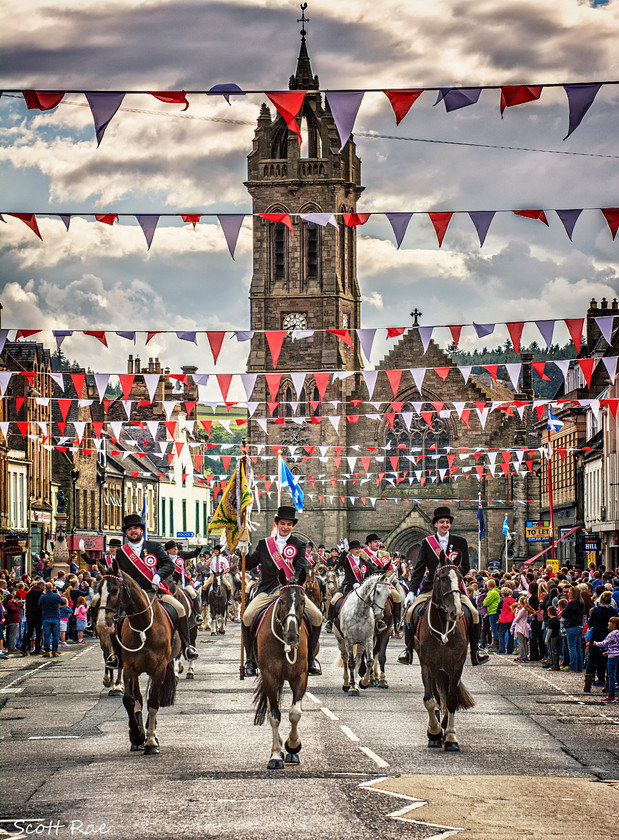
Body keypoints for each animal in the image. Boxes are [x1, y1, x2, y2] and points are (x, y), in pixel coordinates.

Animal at [96, 564, 179, 756]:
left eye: (114, 590)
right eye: (98, 590)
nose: (102, 624)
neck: (144, 626)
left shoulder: (159, 669)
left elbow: (153, 702)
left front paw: (151, 741)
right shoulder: (130, 668)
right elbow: (130, 700)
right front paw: (136, 735)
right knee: (139, 698)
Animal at [253, 572, 308, 768]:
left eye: (303, 601)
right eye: (282, 601)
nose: (291, 636)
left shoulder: (300, 677)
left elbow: (294, 713)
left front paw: (293, 746)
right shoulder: (269, 677)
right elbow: (275, 716)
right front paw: (276, 755)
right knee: (272, 709)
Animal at [414, 564, 478, 748]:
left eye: (461, 578)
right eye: (442, 578)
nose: (455, 612)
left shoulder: (456, 666)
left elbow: (451, 700)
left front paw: (450, 737)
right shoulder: (427, 665)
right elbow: (430, 699)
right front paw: (434, 732)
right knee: (436, 697)